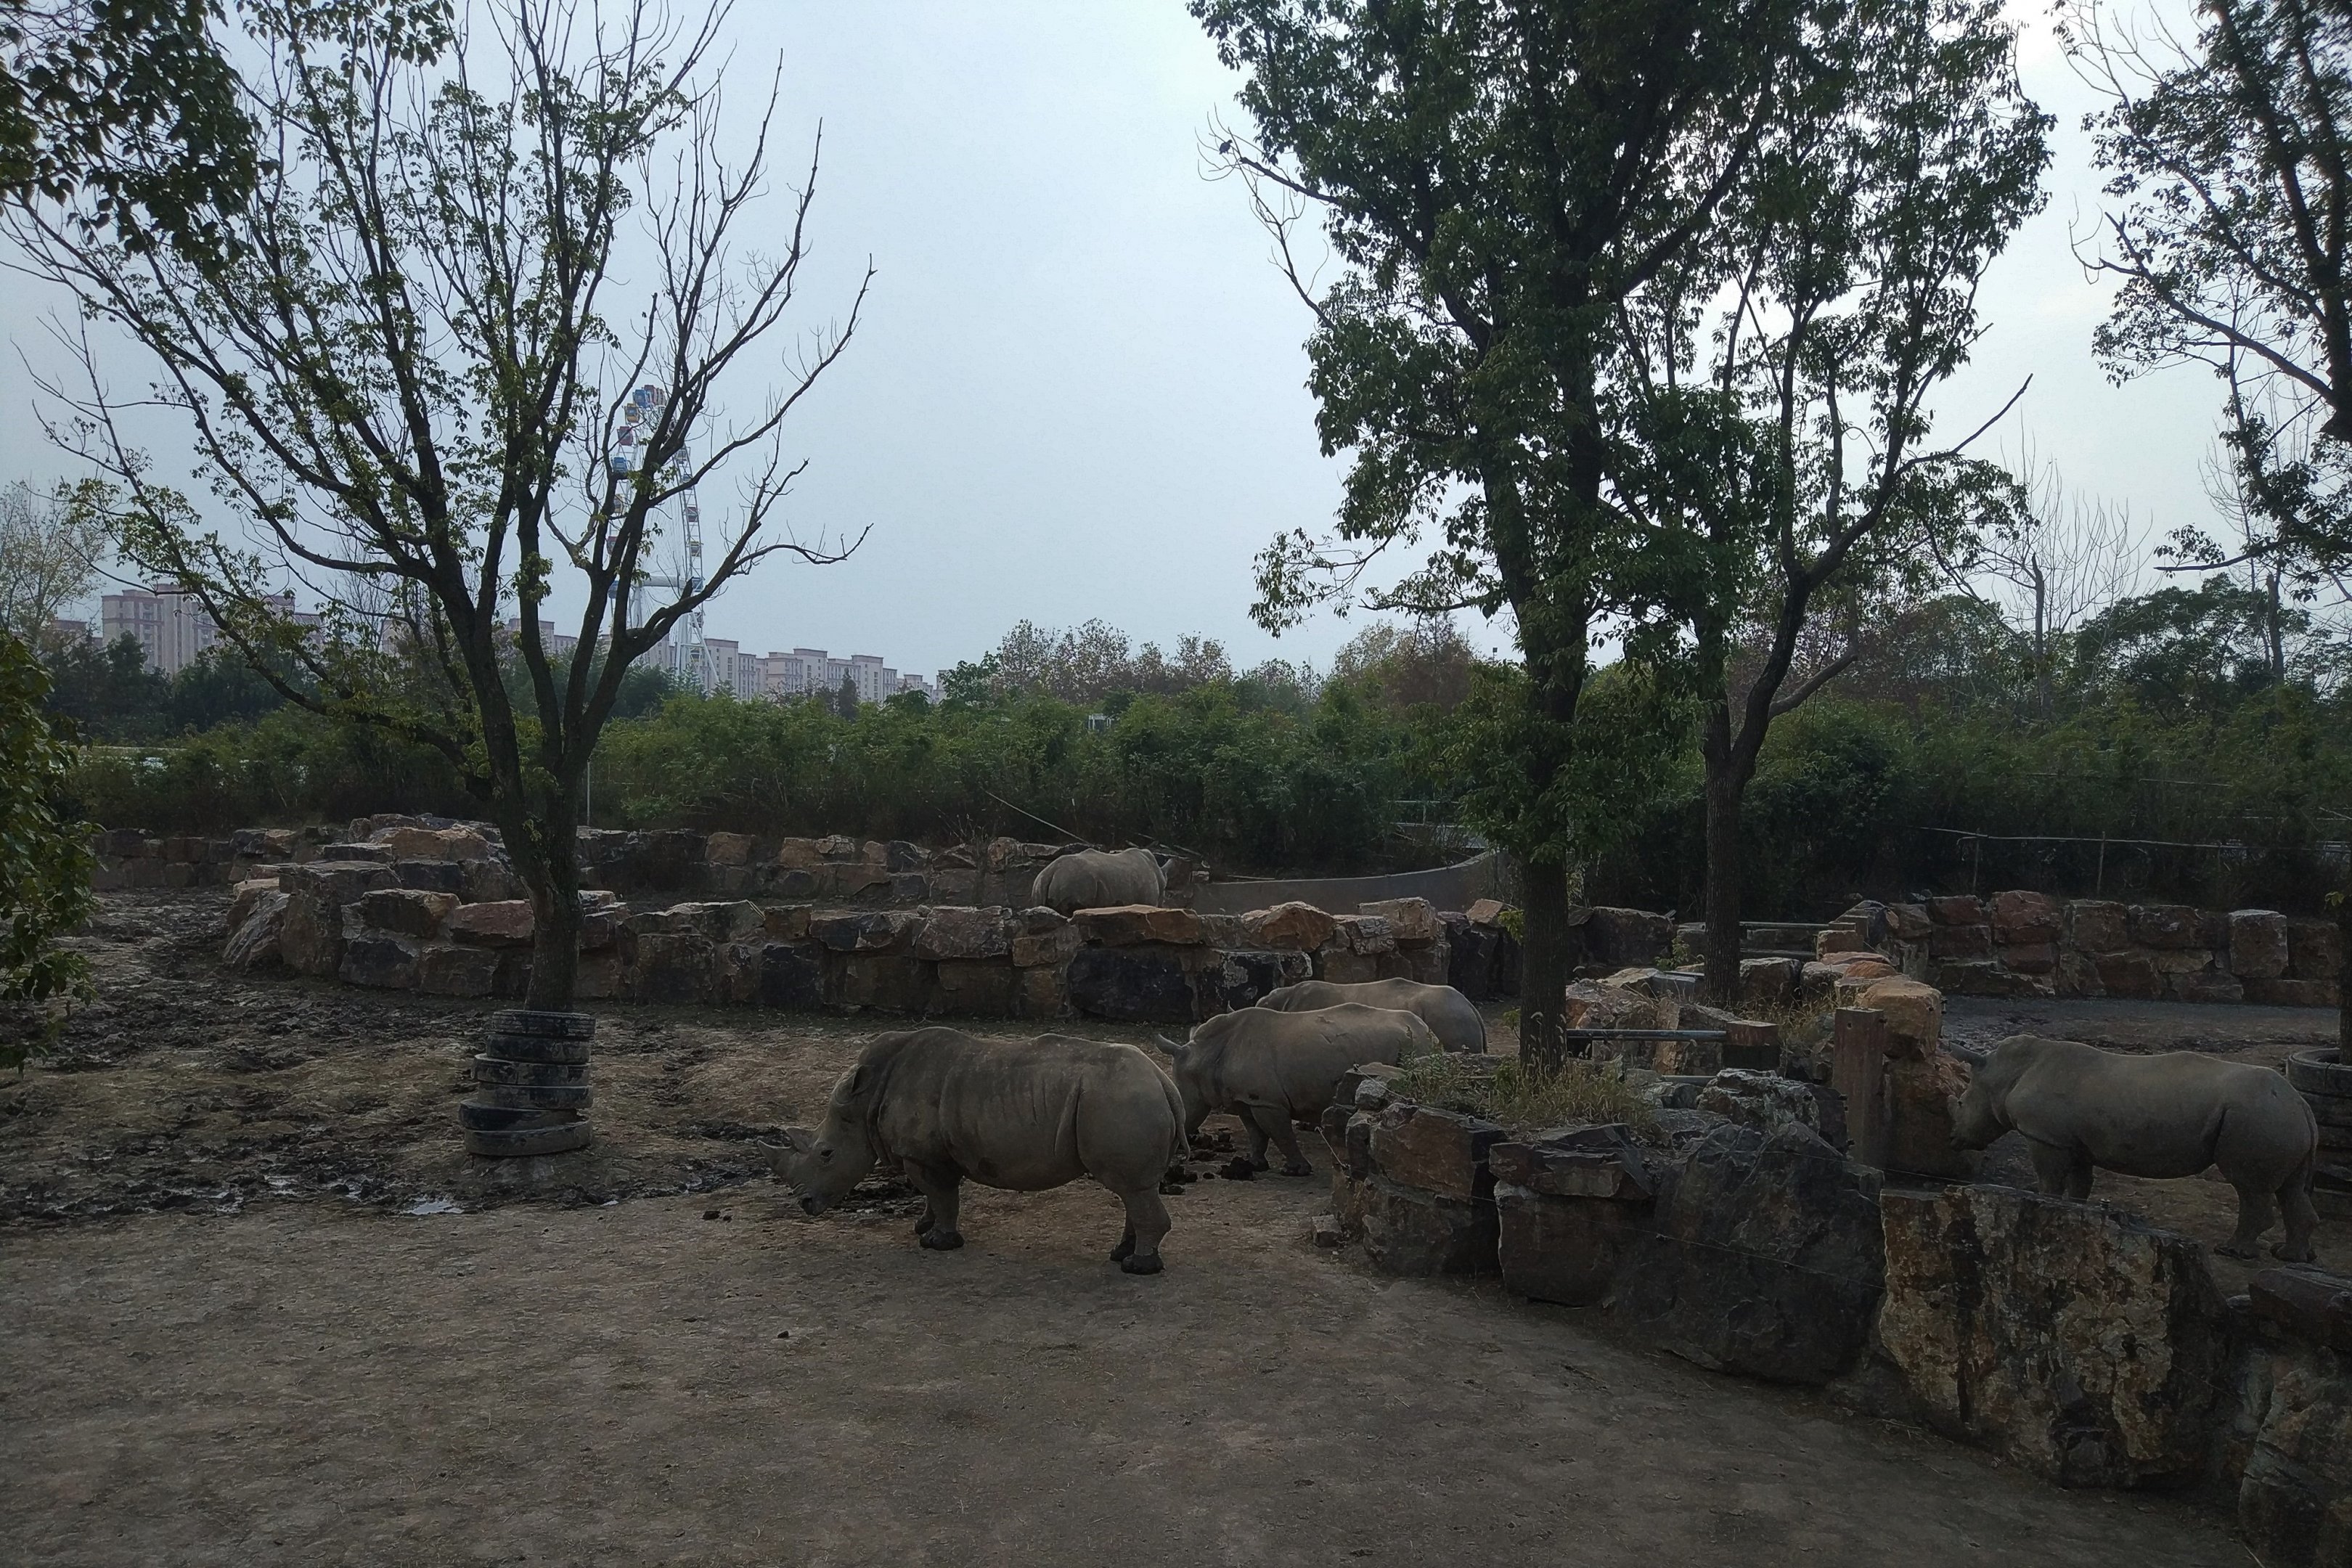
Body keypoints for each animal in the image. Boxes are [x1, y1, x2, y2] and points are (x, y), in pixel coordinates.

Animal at [762, 1027, 1187, 1274]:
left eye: (826, 1154)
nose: (804, 1204)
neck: (865, 1099)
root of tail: (1164, 1082)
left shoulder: (925, 1156)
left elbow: (943, 1196)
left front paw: (938, 1243)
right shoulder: (927, 1154)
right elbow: (932, 1197)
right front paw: (923, 1227)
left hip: (1120, 1100)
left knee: (1132, 1188)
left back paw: (1138, 1267)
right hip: (1127, 1098)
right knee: (1134, 1189)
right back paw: (1121, 1254)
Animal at [1157, 1003, 1440, 1176]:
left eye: (1178, 1106)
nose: (1175, 1143)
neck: (1205, 1056)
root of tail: (1429, 1031)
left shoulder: (1268, 1101)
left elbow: (1281, 1134)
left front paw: (1295, 1171)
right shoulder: (1248, 1099)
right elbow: (1256, 1133)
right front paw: (1254, 1165)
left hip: (1414, 1045)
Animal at [1950, 1034, 2318, 1262]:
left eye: (1960, 1102)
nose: (1954, 1140)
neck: (2003, 1074)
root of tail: (2301, 1103)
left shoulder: (2044, 1136)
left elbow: (2050, 1181)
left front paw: (2044, 1206)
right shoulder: (2074, 1142)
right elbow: (2080, 1184)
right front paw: (2072, 1214)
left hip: (2255, 1116)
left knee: (2249, 1187)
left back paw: (2232, 1252)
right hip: (2276, 1116)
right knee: (2292, 1189)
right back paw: (2291, 1256)